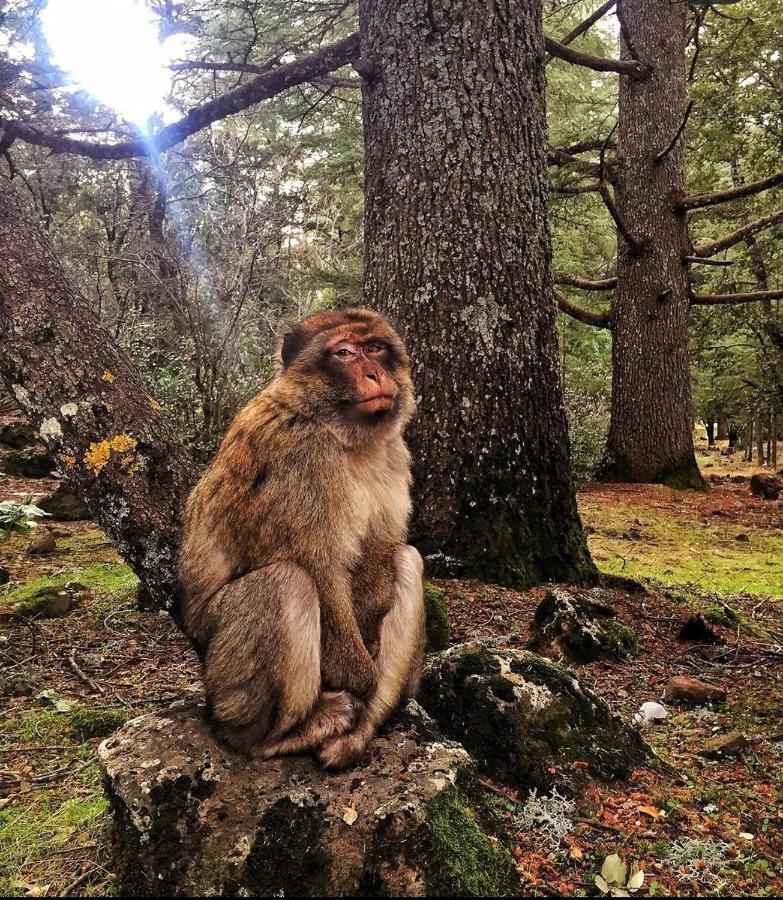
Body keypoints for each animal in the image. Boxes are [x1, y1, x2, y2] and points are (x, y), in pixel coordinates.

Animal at [178, 308, 426, 768]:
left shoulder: (393, 453)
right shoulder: (299, 455)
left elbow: (382, 552)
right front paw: (357, 675)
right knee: (285, 582)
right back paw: (277, 736)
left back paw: (363, 726)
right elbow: (318, 566)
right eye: (344, 353)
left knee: (407, 559)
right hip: (221, 680)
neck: (341, 434)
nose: (375, 373)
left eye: (375, 348)